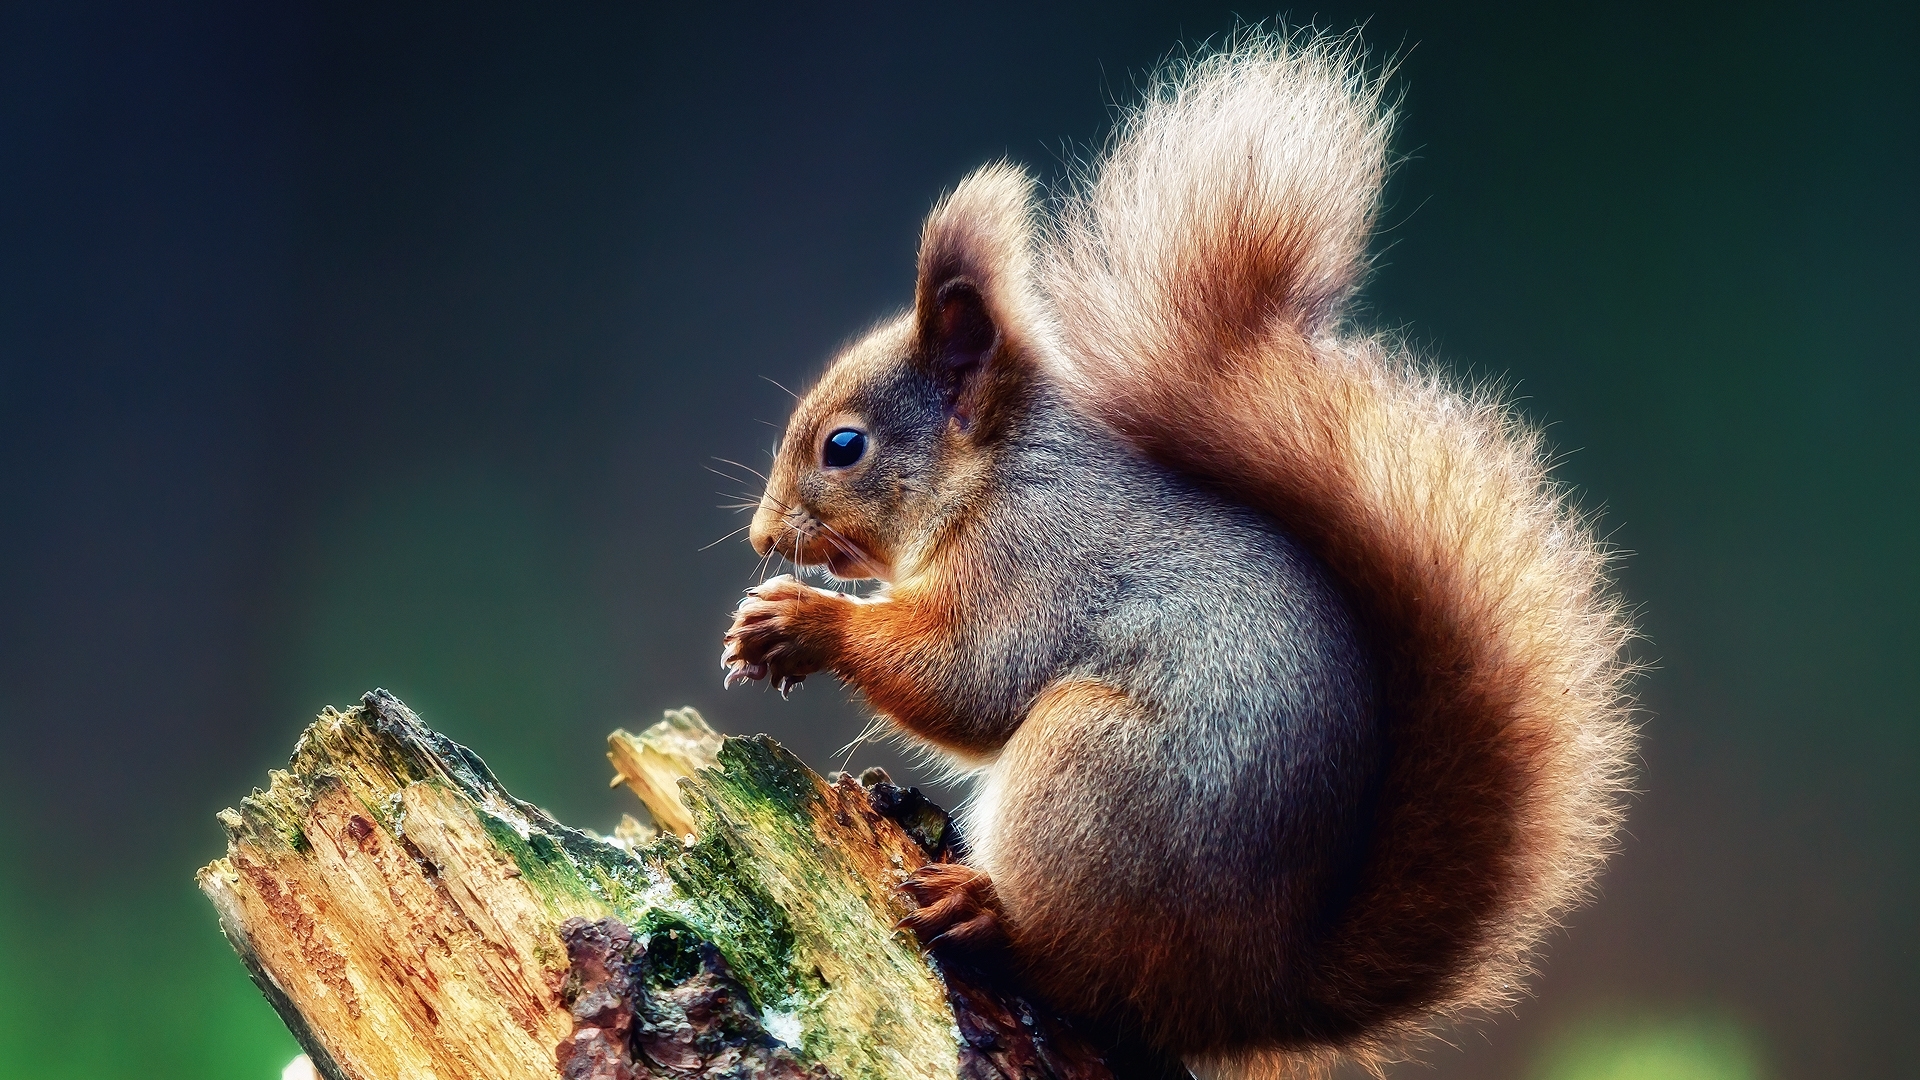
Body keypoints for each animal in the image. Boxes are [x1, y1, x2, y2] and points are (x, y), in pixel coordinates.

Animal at [720, 30, 1636, 1080]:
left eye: (844, 446)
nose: (762, 537)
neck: (996, 475)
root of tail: (1250, 995)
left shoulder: (1036, 562)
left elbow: (969, 678)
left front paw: (797, 622)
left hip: (1093, 772)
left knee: (1079, 968)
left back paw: (981, 912)